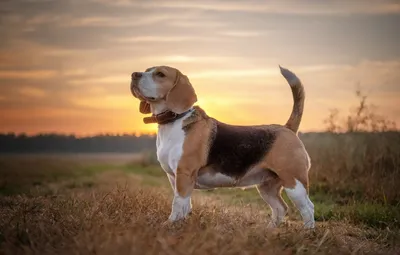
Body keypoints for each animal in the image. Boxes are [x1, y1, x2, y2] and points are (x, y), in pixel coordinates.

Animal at [130, 65, 314, 229]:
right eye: (146, 70)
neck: (174, 120)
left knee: (308, 208)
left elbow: (177, 204)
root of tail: (287, 128)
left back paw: (308, 232)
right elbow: (185, 206)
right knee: (280, 208)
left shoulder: (184, 174)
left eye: (160, 74)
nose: (134, 74)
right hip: (267, 186)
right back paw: (268, 230)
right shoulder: (174, 178)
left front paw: (169, 224)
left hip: (294, 182)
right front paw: (179, 225)